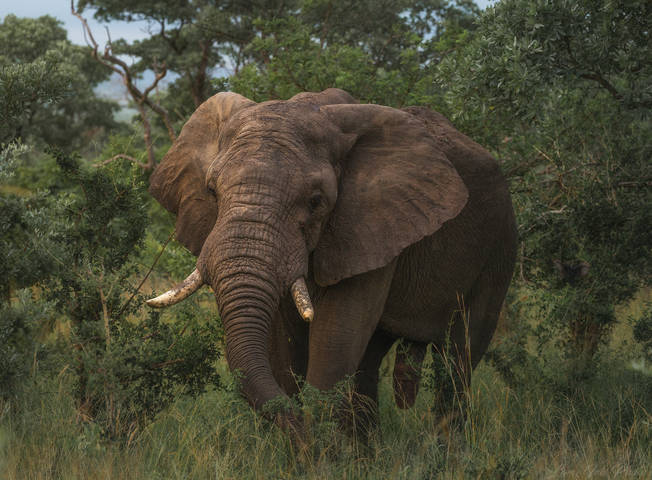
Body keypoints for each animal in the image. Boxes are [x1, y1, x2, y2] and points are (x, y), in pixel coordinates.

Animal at [146, 88, 517, 434]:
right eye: (211, 191)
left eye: (315, 201)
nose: (300, 422)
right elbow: (286, 346)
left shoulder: (371, 225)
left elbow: (335, 338)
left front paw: (319, 444)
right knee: (370, 362)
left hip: (500, 243)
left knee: (458, 360)